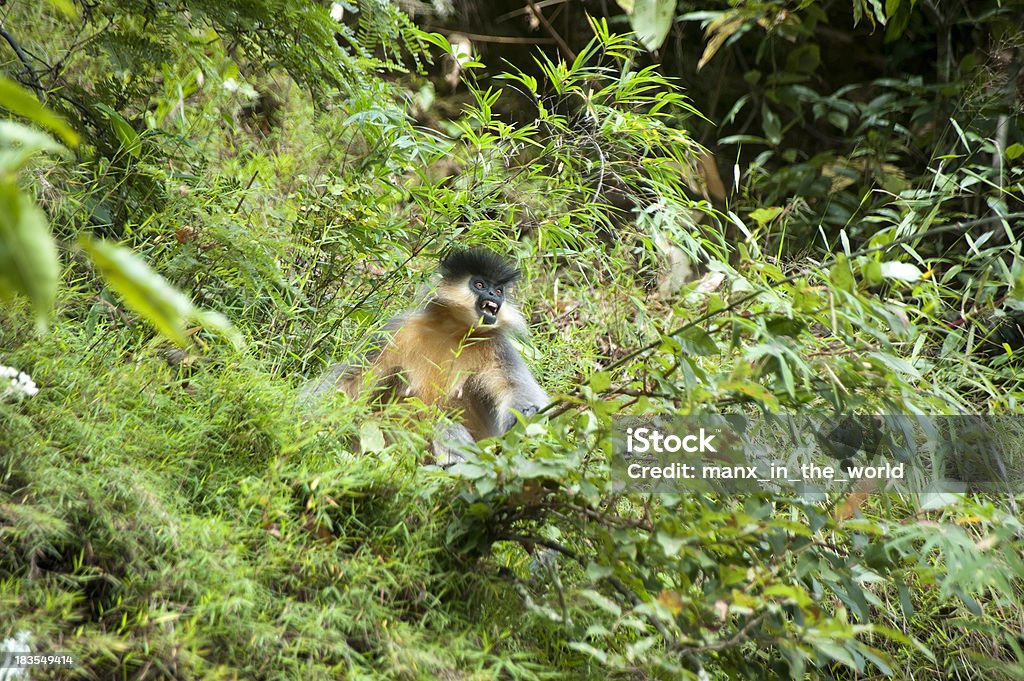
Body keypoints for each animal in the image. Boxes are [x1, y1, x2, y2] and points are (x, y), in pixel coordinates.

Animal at [305, 246, 552, 458]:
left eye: (499, 290)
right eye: (480, 285)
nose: (494, 295)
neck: (453, 330)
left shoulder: (497, 346)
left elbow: (515, 388)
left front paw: (526, 418)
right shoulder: (395, 330)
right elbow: (349, 381)